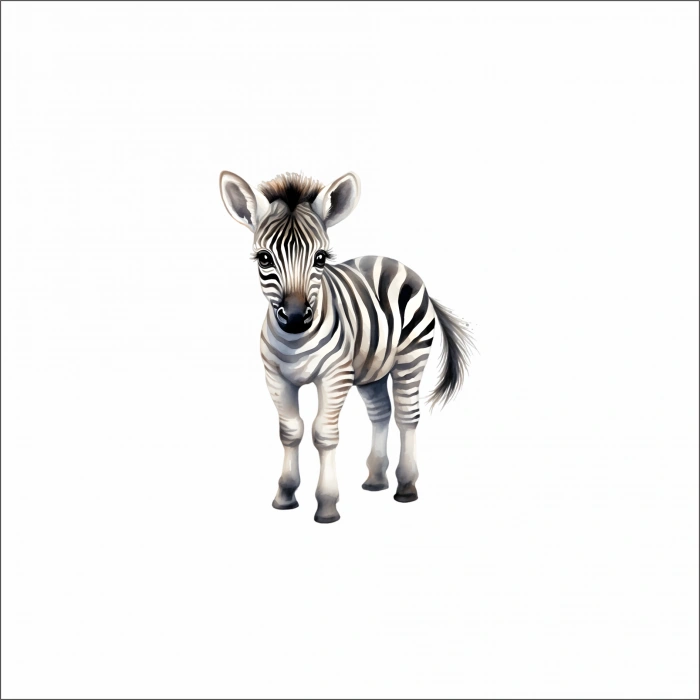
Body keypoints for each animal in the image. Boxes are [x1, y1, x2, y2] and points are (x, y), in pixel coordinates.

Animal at [219, 170, 474, 523]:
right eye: (264, 259)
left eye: (320, 258)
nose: (295, 319)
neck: (296, 342)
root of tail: (393, 262)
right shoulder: (276, 378)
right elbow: (290, 431)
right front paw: (285, 495)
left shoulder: (334, 376)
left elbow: (323, 434)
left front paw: (327, 505)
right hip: (371, 369)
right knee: (380, 412)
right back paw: (376, 479)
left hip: (411, 357)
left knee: (406, 415)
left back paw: (406, 486)